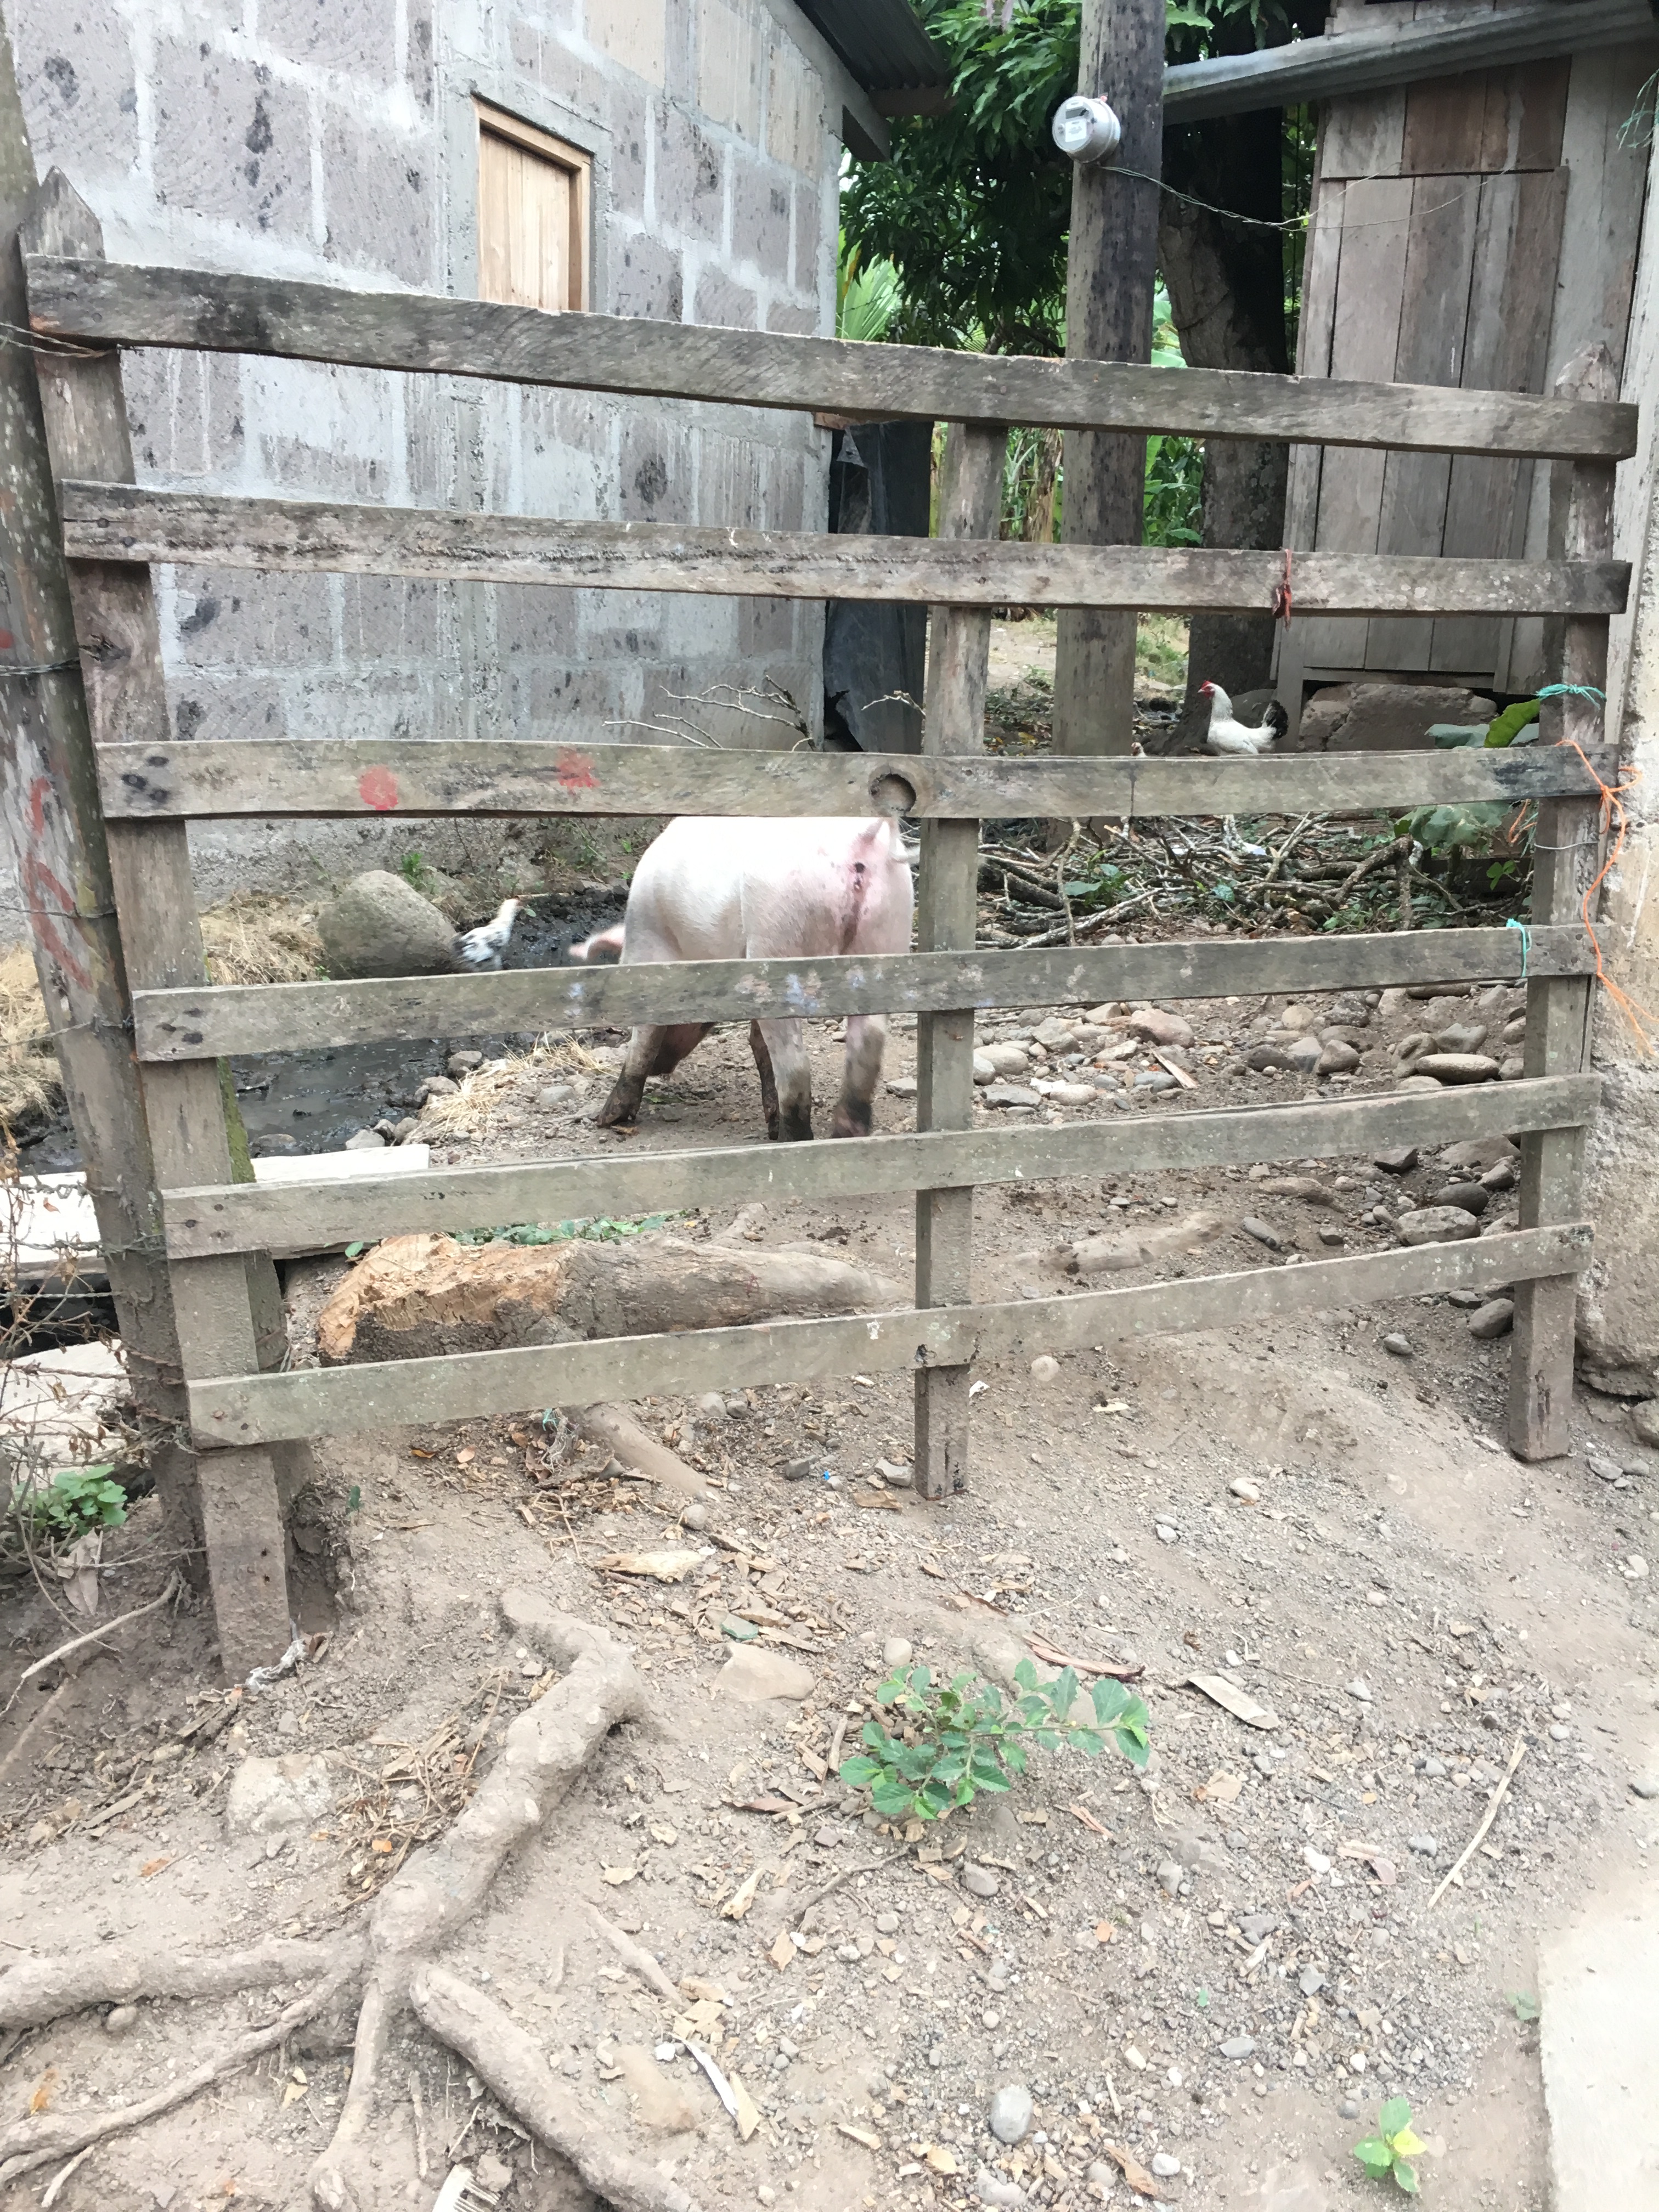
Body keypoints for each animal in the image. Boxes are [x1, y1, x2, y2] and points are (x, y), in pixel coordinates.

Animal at [570, 814, 913, 1140]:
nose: (662, 1068)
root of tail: (859, 841)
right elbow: (757, 1044)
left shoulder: (650, 950)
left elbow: (645, 1036)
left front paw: (605, 1120)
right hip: (887, 936)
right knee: (866, 1051)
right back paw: (843, 1137)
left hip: (779, 935)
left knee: (797, 1068)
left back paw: (791, 1141)